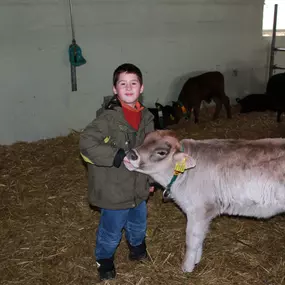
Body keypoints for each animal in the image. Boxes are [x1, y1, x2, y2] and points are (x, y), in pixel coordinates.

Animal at [123, 130, 284, 272]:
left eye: (161, 152)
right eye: (144, 140)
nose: (131, 154)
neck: (184, 175)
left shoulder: (199, 209)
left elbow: (192, 239)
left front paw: (186, 267)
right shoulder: (204, 213)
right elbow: (200, 237)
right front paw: (196, 260)